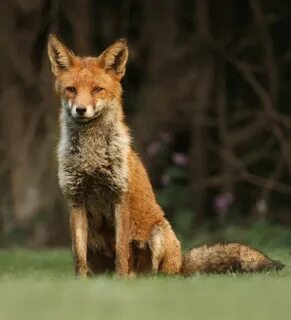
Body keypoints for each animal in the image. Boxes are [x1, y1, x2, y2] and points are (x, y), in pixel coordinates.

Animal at [48, 33, 286, 276]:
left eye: (97, 89)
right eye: (71, 89)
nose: (81, 110)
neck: (92, 158)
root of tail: (180, 265)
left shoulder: (119, 197)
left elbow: (121, 254)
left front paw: (120, 281)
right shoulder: (75, 200)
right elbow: (79, 258)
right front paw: (82, 283)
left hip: (159, 234)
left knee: (156, 274)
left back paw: (141, 279)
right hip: (95, 241)